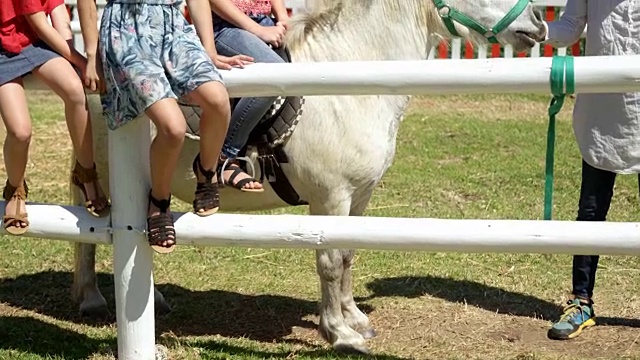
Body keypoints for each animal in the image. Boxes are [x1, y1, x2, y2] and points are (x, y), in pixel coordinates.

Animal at [71, 0, 544, 354]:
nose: (537, 24)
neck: (348, 84)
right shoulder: (331, 198)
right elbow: (330, 262)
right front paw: (339, 332)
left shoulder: (360, 196)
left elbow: (349, 254)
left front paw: (356, 318)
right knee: (93, 234)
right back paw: (93, 298)